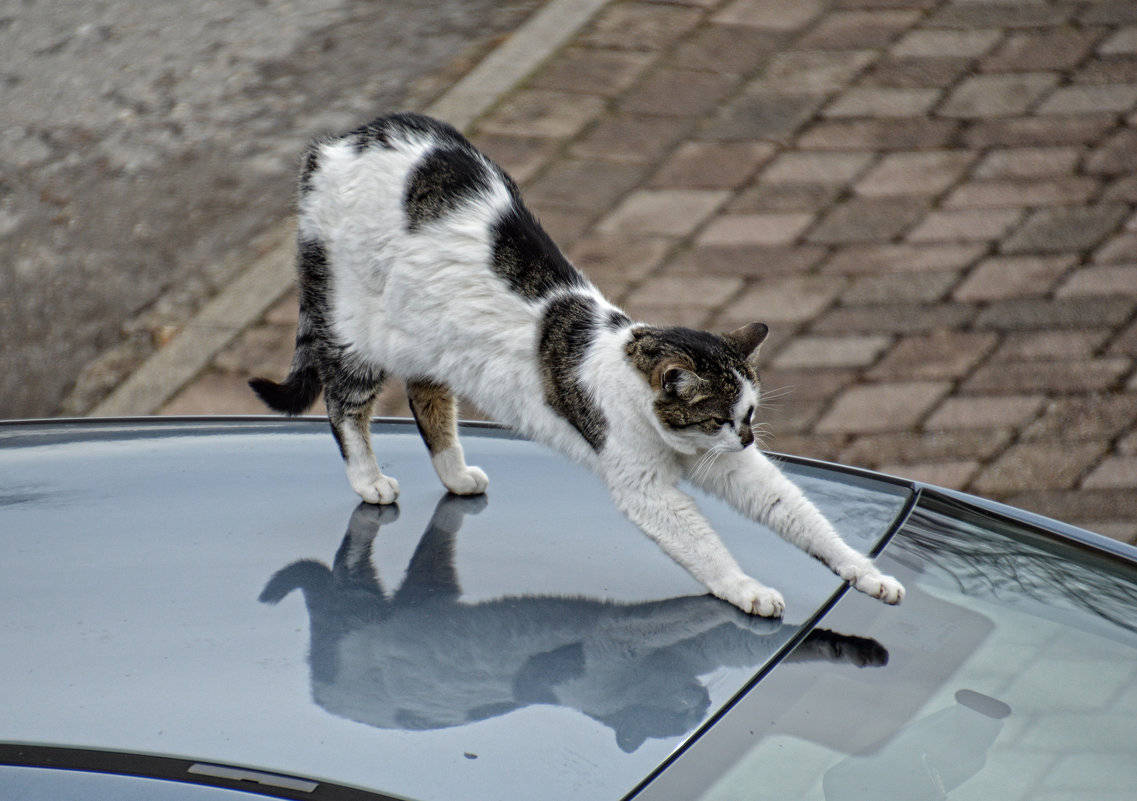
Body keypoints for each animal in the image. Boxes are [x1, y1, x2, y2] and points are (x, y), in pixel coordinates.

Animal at [251, 110, 905, 618]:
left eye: (748, 416)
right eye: (719, 418)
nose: (745, 439)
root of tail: (338, 143)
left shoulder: (733, 469)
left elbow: (800, 517)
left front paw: (866, 574)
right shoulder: (647, 491)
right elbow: (705, 549)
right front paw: (746, 589)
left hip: (430, 334)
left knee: (426, 397)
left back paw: (455, 475)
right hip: (356, 330)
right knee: (344, 405)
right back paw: (368, 479)